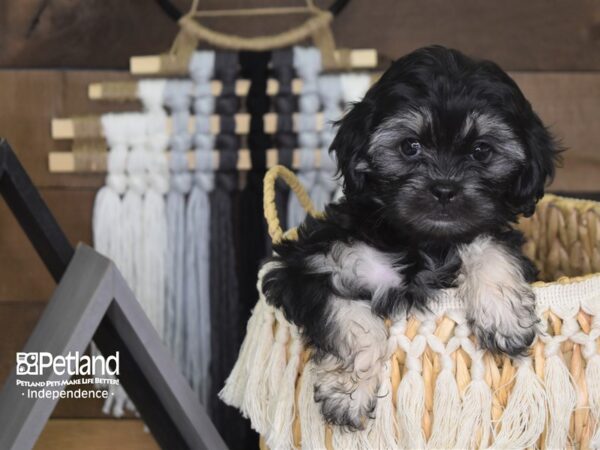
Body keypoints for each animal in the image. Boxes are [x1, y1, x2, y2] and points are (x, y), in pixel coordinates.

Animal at [262, 45, 556, 428]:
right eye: (410, 147)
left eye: (481, 151)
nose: (444, 189)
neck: (421, 241)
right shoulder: (310, 263)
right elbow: (349, 319)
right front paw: (348, 394)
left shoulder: (489, 231)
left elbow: (489, 244)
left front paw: (503, 315)